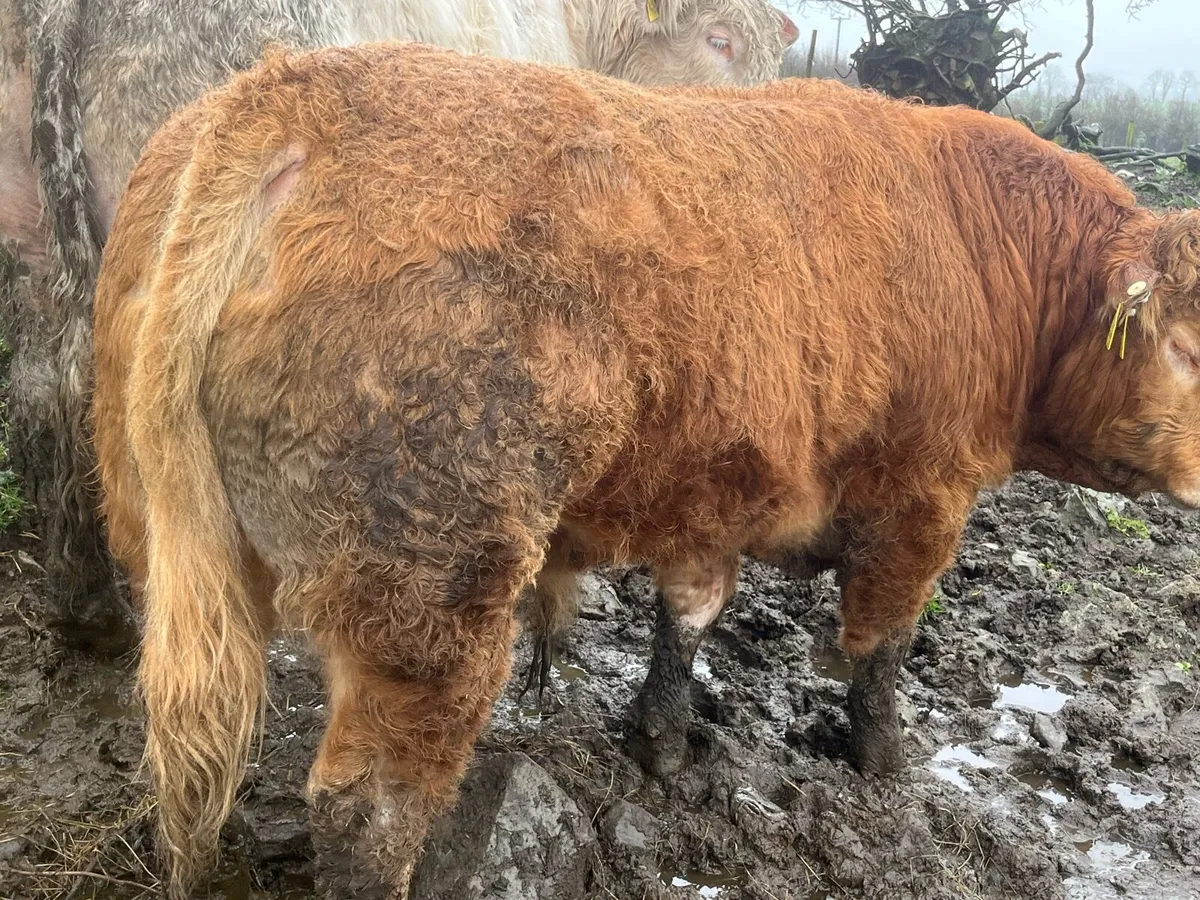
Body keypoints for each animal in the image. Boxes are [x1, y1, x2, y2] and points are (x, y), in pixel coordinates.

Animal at [93, 42, 1200, 900]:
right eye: (1187, 347)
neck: (981, 251)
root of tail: (291, 92)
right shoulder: (923, 497)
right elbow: (882, 646)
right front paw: (886, 765)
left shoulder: (711, 490)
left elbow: (690, 615)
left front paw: (661, 742)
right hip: (430, 590)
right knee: (369, 811)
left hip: (167, 542)